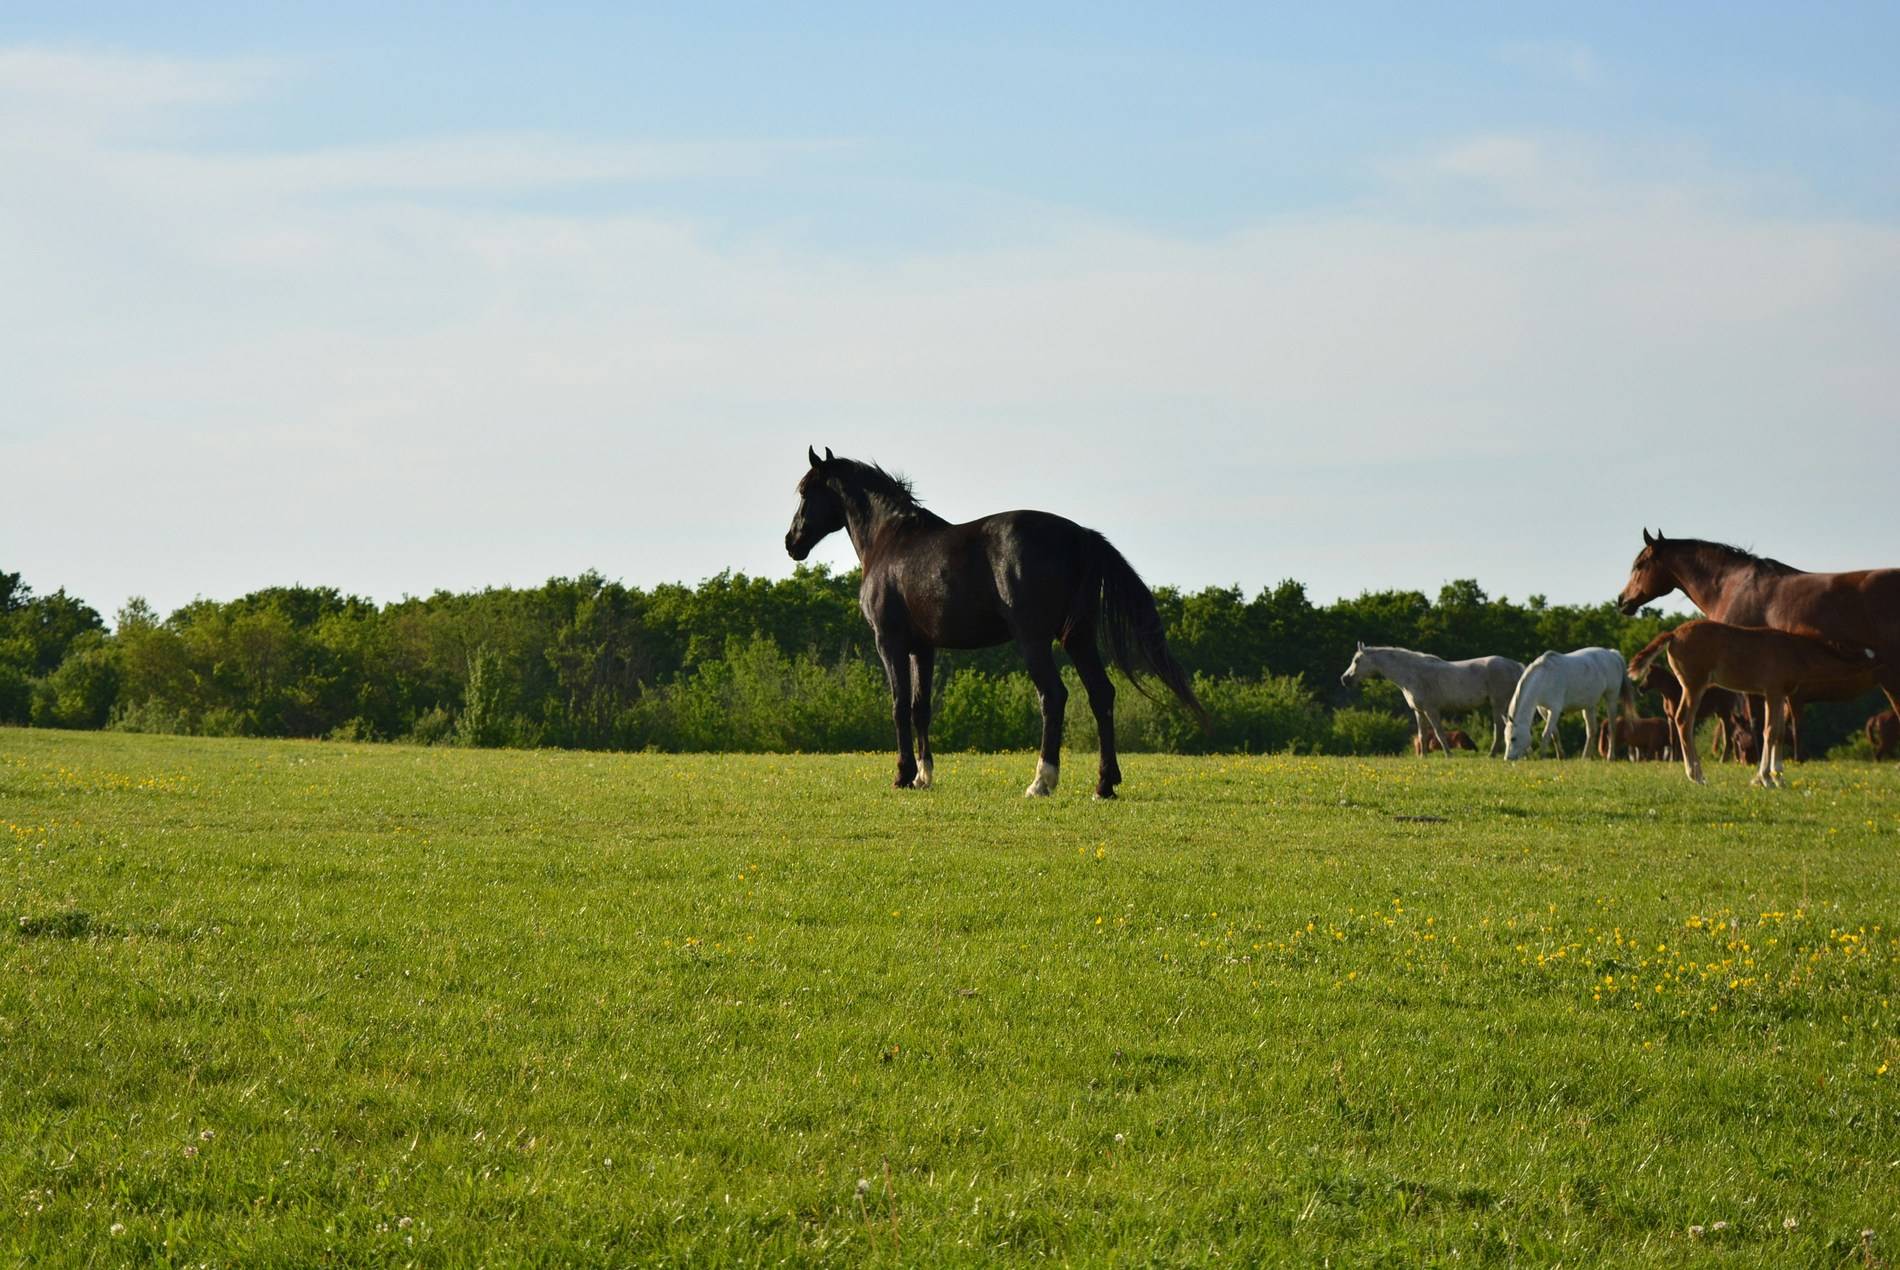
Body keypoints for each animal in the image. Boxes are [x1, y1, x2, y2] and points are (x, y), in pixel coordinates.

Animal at [782, 450, 1200, 798]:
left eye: (805, 491)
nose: (791, 543)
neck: (891, 540)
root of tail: (1079, 536)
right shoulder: (924, 648)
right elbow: (920, 707)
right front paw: (923, 777)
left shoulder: (890, 642)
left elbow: (899, 705)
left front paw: (902, 775)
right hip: (1078, 637)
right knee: (1102, 695)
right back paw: (1104, 784)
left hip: (1034, 639)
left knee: (1053, 696)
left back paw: (1041, 782)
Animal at [1337, 646, 1527, 752]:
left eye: (1357, 660)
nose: (1344, 679)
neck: (1412, 673)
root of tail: (1516, 665)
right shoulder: (1419, 711)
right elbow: (1422, 736)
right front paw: (1423, 757)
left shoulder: (1431, 710)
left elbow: (1439, 734)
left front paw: (1448, 755)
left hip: (1498, 704)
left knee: (1499, 729)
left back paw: (1492, 755)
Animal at [1626, 615, 1877, 783]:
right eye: (1863, 656)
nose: (1878, 663)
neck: (1795, 651)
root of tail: (1674, 635)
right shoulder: (1773, 691)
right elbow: (1770, 731)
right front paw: (1764, 778)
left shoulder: (1776, 695)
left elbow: (1778, 731)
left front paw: (1778, 776)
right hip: (1694, 685)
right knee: (1683, 721)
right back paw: (1696, 775)